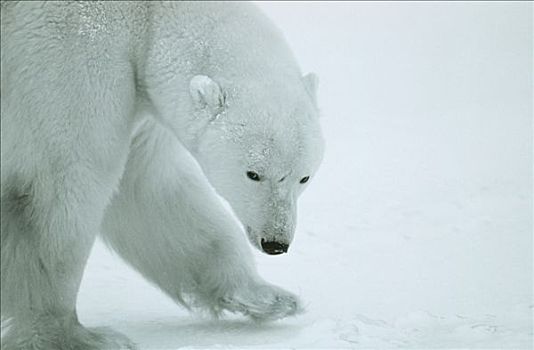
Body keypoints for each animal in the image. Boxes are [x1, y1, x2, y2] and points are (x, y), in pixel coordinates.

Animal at [0, 1, 324, 348]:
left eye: (304, 178)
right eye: (253, 174)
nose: (276, 242)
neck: (148, 16)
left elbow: (151, 191)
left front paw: (269, 298)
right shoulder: (68, 57)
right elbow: (58, 185)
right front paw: (73, 335)